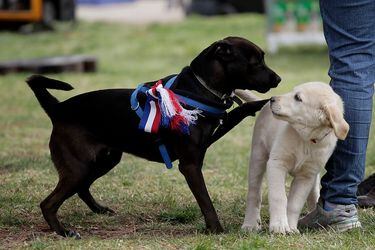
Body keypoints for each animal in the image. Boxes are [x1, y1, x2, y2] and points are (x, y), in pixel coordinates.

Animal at [27, 36, 280, 238]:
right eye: (256, 62)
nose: (277, 79)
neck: (199, 88)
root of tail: (58, 109)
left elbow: (239, 110)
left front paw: (264, 103)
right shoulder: (190, 165)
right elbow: (206, 202)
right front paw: (216, 229)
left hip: (104, 161)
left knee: (81, 188)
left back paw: (99, 210)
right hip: (78, 167)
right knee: (48, 203)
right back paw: (63, 232)